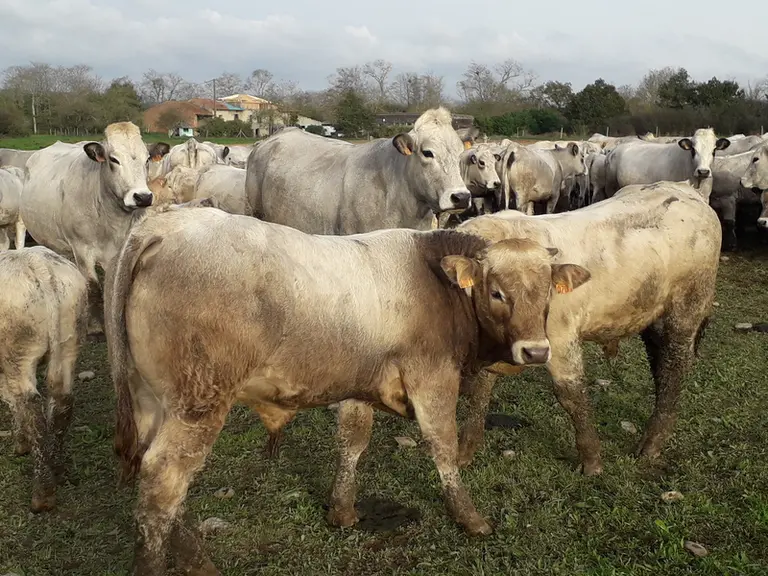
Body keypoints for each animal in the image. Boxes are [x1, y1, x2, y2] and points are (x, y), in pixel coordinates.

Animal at [0, 246, 88, 512]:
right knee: (62, 402)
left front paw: (20, 442)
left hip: (19, 351)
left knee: (31, 407)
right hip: (69, 340)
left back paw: (42, 493)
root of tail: (38, 265)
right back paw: (56, 469)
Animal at [20, 122, 169, 334]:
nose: (143, 197)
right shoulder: (82, 250)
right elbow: (94, 288)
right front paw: (97, 325)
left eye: (147, 158)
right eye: (113, 159)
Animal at [104, 203, 589, 575]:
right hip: (198, 404)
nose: (535, 351)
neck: (434, 281)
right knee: (164, 481)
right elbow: (443, 445)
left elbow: (352, 441)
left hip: (152, 401)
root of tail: (167, 223)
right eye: (496, 292)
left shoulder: (360, 382)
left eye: (547, 291)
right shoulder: (432, 378)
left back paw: (196, 560)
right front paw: (469, 518)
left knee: (160, 483)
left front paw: (342, 510)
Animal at [452, 181, 720, 474]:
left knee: (674, 367)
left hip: (686, 309)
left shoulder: (558, 340)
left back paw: (651, 444)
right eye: (496, 292)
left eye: (545, 289)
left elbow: (571, 395)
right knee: (660, 366)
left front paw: (591, 460)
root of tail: (687, 191)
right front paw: (465, 450)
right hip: (653, 317)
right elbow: (480, 390)